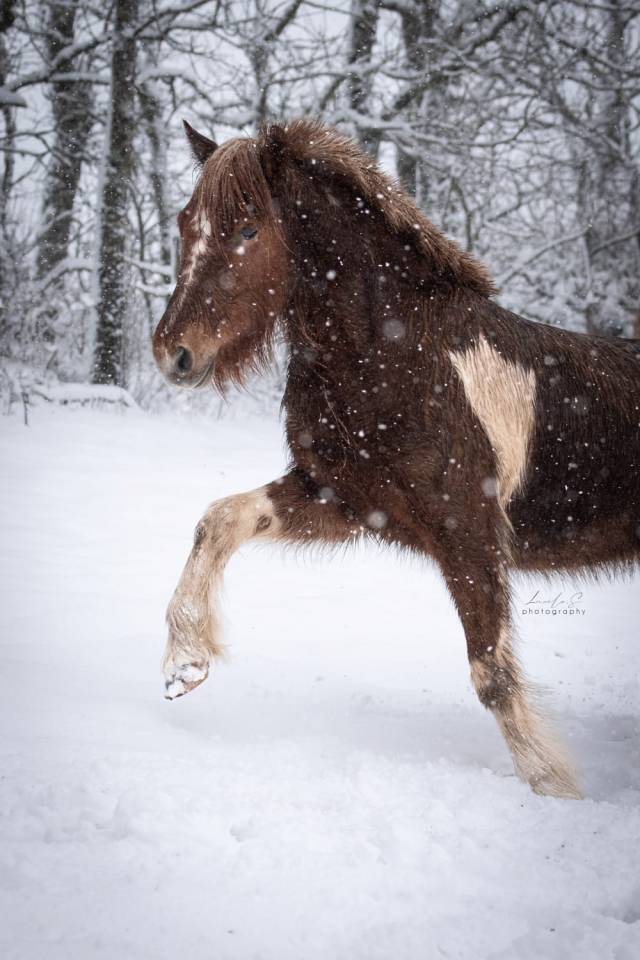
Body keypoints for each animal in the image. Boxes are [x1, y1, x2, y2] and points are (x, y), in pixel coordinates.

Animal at [152, 118, 640, 799]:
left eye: (248, 228)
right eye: (185, 223)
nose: (173, 353)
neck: (398, 359)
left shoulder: (469, 535)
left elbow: (492, 671)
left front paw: (555, 788)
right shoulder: (348, 501)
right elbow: (219, 518)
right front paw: (184, 663)